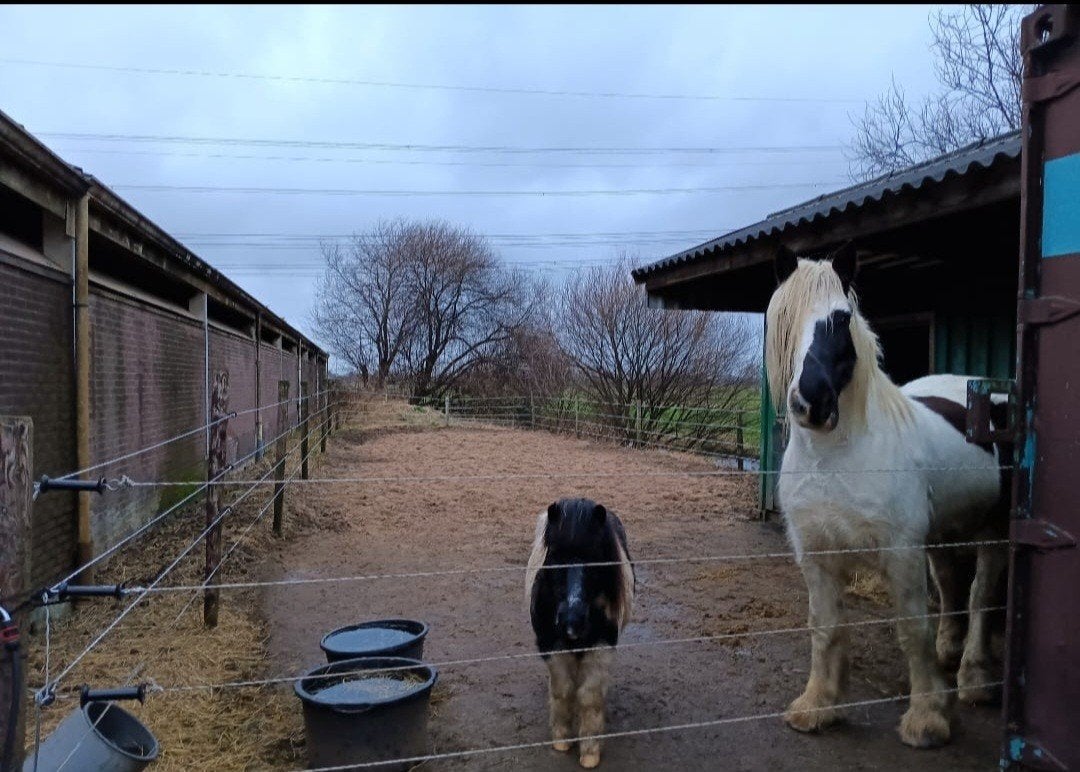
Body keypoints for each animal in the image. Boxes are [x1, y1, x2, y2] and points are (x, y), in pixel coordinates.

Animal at [526, 498, 635, 769]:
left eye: (596, 560)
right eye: (554, 557)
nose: (571, 621)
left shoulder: (601, 647)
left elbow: (589, 696)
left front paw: (590, 752)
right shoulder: (552, 645)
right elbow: (563, 690)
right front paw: (562, 739)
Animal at [766, 243, 1009, 748]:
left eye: (841, 319)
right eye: (784, 317)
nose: (811, 402)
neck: (837, 454)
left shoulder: (900, 551)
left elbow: (912, 629)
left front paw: (928, 719)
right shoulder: (815, 553)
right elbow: (825, 627)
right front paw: (818, 706)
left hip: (994, 530)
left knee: (980, 595)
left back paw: (974, 679)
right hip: (941, 536)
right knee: (952, 587)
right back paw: (949, 654)